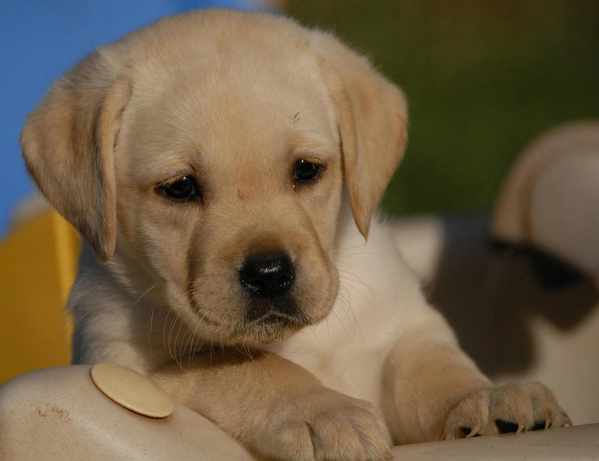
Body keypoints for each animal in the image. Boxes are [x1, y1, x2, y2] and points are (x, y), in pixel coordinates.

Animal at [21, 8, 568, 460]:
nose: (269, 273)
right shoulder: (129, 365)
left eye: (306, 170)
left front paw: (490, 397)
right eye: (179, 188)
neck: (302, 342)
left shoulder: (402, 327)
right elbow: (244, 365)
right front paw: (325, 413)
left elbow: (429, 368)